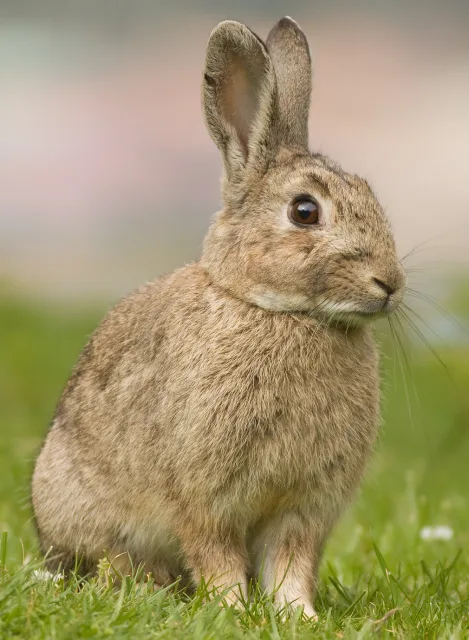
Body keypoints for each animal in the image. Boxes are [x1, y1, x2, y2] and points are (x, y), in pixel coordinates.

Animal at [32, 17, 406, 619]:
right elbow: (216, 554)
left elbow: (292, 563)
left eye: (369, 192)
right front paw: (231, 608)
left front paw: (297, 615)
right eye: (305, 211)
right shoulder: (205, 498)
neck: (279, 311)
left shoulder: (304, 507)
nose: (389, 283)